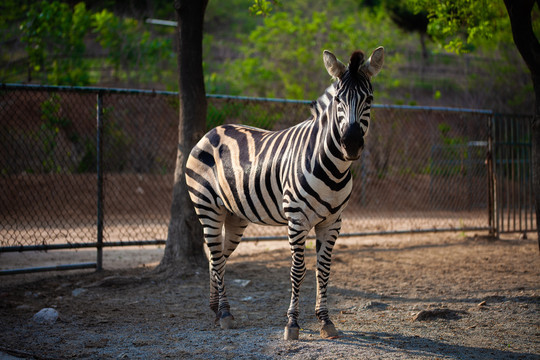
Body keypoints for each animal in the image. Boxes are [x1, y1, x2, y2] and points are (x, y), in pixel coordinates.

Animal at [186, 46, 384, 338]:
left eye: (369, 99)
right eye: (338, 100)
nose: (351, 144)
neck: (334, 168)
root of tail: (212, 131)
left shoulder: (333, 222)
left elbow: (324, 270)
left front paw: (325, 320)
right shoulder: (297, 219)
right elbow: (298, 269)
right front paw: (292, 323)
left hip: (235, 217)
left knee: (217, 256)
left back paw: (215, 309)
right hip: (208, 208)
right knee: (217, 256)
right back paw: (225, 313)